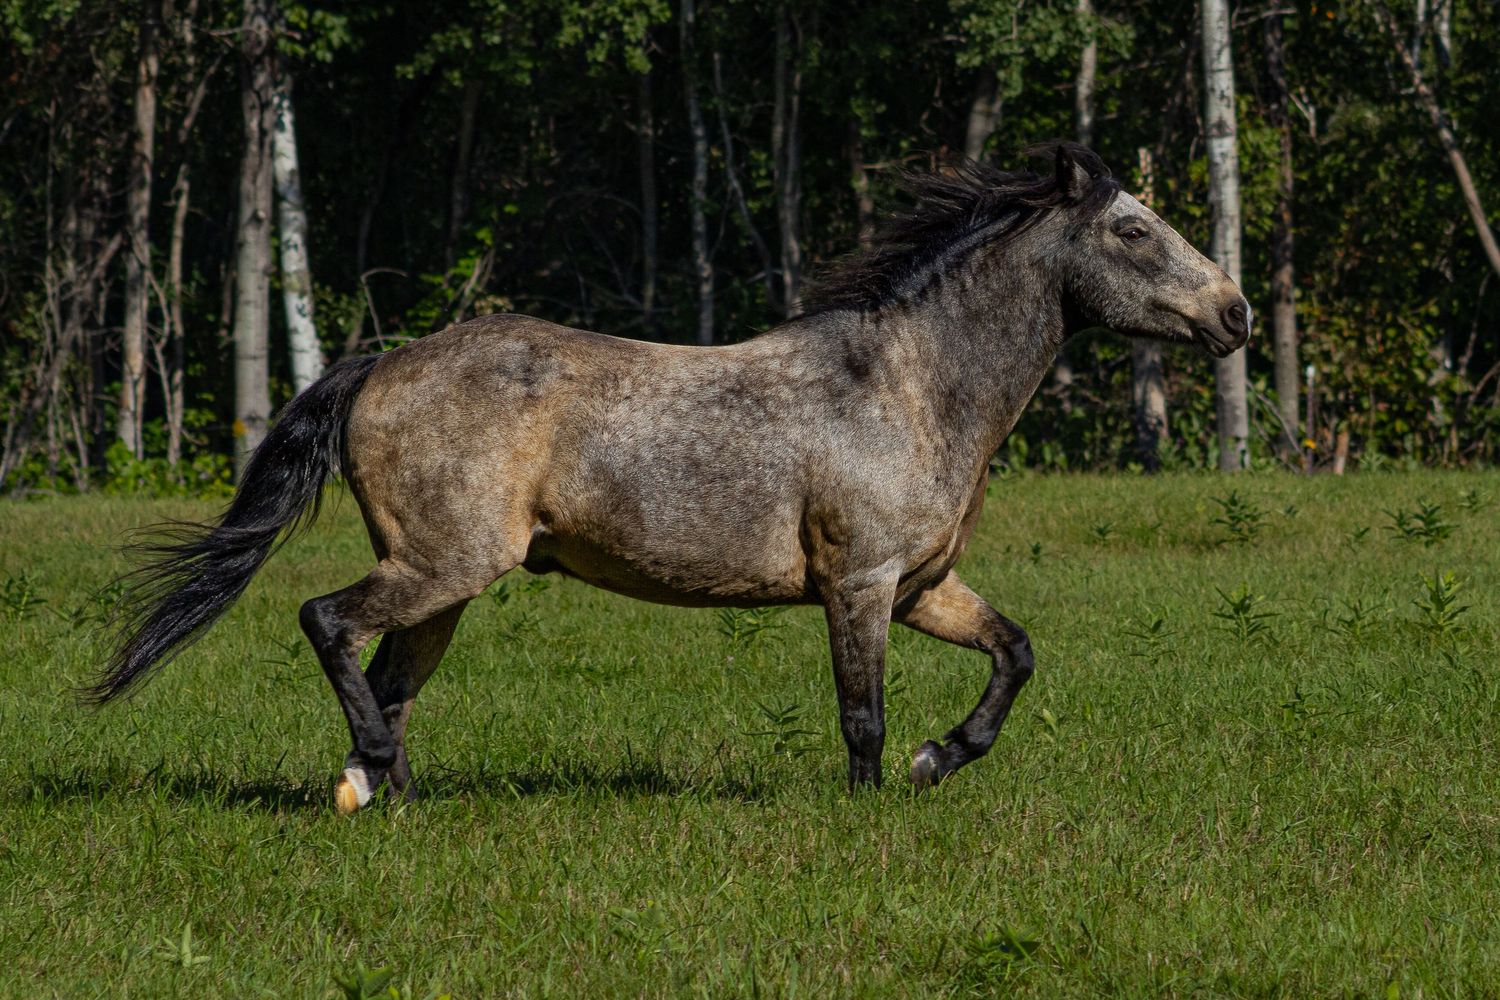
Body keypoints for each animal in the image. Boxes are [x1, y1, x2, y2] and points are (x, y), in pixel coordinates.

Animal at [91, 142, 1249, 812]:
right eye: (1133, 229)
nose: (1234, 314)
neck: (912, 386)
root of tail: (381, 363)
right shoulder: (860, 584)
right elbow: (862, 713)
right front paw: (874, 806)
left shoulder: (922, 586)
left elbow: (1015, 655)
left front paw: (940, 759)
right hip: (444, 564)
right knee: (330, 625)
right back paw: (367, 779)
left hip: (446, 580)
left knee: (389, 678)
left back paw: (389, 794)